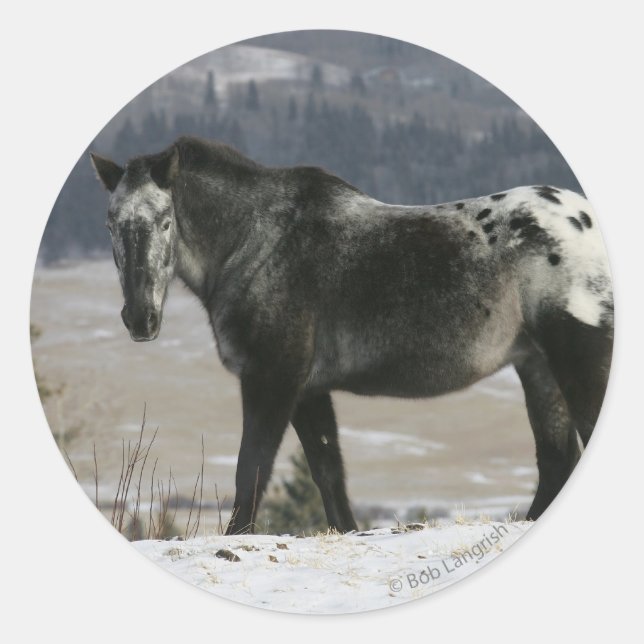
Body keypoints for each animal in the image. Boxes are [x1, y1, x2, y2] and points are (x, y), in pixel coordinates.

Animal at [91, 135, 613, 535]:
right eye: (111, 224)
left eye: (165, 221)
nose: (140, 319)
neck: (256, 241)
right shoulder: (307, 389)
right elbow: (328, 472)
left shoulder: (271, 379)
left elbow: (251, 468)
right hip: (537, 366)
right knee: (555, 461)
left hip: (578, 358)